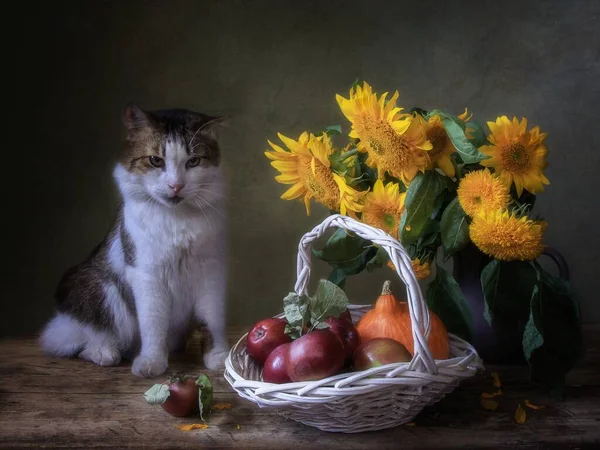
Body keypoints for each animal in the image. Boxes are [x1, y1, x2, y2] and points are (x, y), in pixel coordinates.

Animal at [38, 104, 229, 376]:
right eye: (156, 161)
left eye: (193, 162)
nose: (176, 186)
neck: (176, 218)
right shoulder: (146, 273)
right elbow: (153, 323)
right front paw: (152, 361)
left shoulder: (211, 271)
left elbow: (211, 320)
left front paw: (219, 356)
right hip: (101, 290)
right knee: (78, 341)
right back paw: (105, 353)